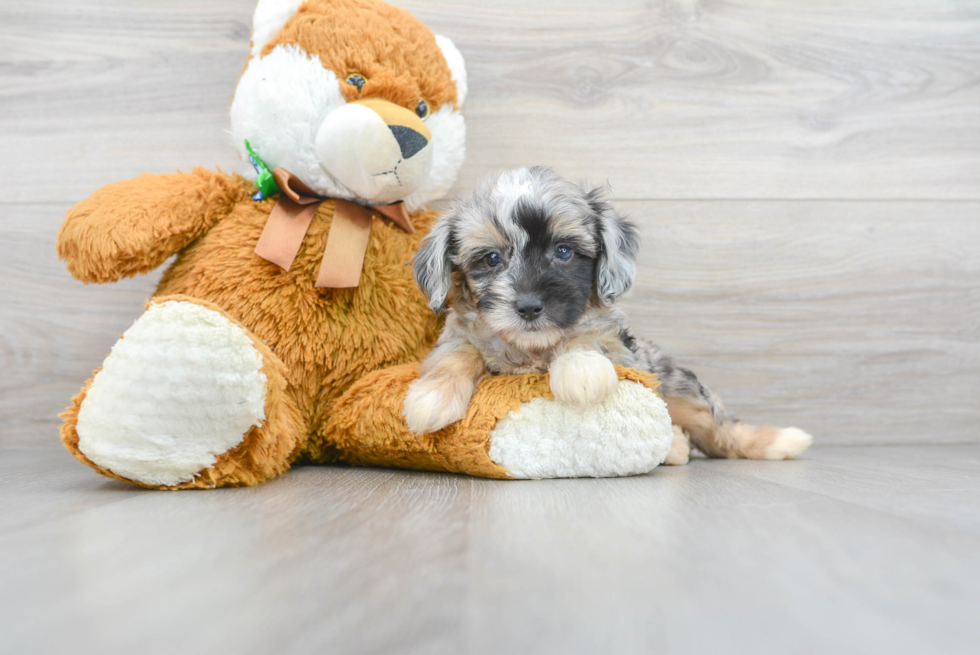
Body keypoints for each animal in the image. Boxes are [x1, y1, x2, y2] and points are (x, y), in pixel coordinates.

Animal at [402, 167, 816, 464]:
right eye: (491, 258)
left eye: (564, 252)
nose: (530, 306)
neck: (533, 350)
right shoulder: (460, 333)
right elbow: (455, 354)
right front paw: (431, 399)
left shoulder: (618, 344)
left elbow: (589, 338)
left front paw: (580, 372)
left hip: (679, 388)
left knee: (719, 429)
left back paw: (776, 441)